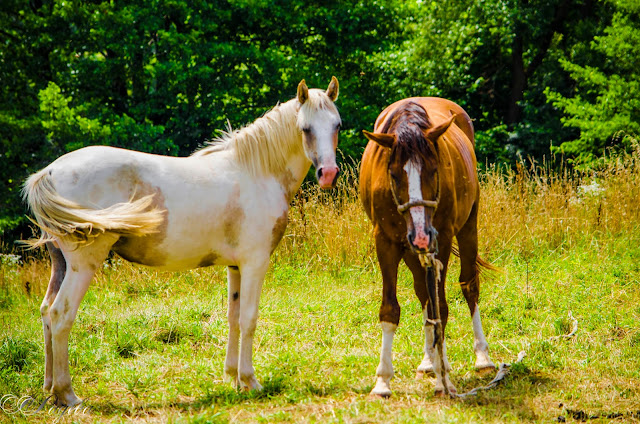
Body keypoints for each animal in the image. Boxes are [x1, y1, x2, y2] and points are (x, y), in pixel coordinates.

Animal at [21, 78, 340, 406]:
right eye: (305, 128)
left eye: (337, 125)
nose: (328, 174)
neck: (258, 173)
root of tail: (49, 172)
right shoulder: (255, 263)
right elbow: (249, 318)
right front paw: (251, 381)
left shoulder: (235, 267)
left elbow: (233, 317)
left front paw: (232, 377)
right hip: (83, 265)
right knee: (61, 315)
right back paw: (68, 394)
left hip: (60, 264)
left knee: (46, 313)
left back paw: (49, 390)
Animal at [360, 97, 496, 396]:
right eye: (393, 174)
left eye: (434, 171)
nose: (421, 235)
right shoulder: (385, 242)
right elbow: (392, 309)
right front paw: (383, 380)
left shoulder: (441, 241)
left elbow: (440, 308)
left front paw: (444, 378)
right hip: (412, 250)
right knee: (423, 293)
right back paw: (428, 360)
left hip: (467, 227)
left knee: (469, 285)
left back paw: (482, 356)